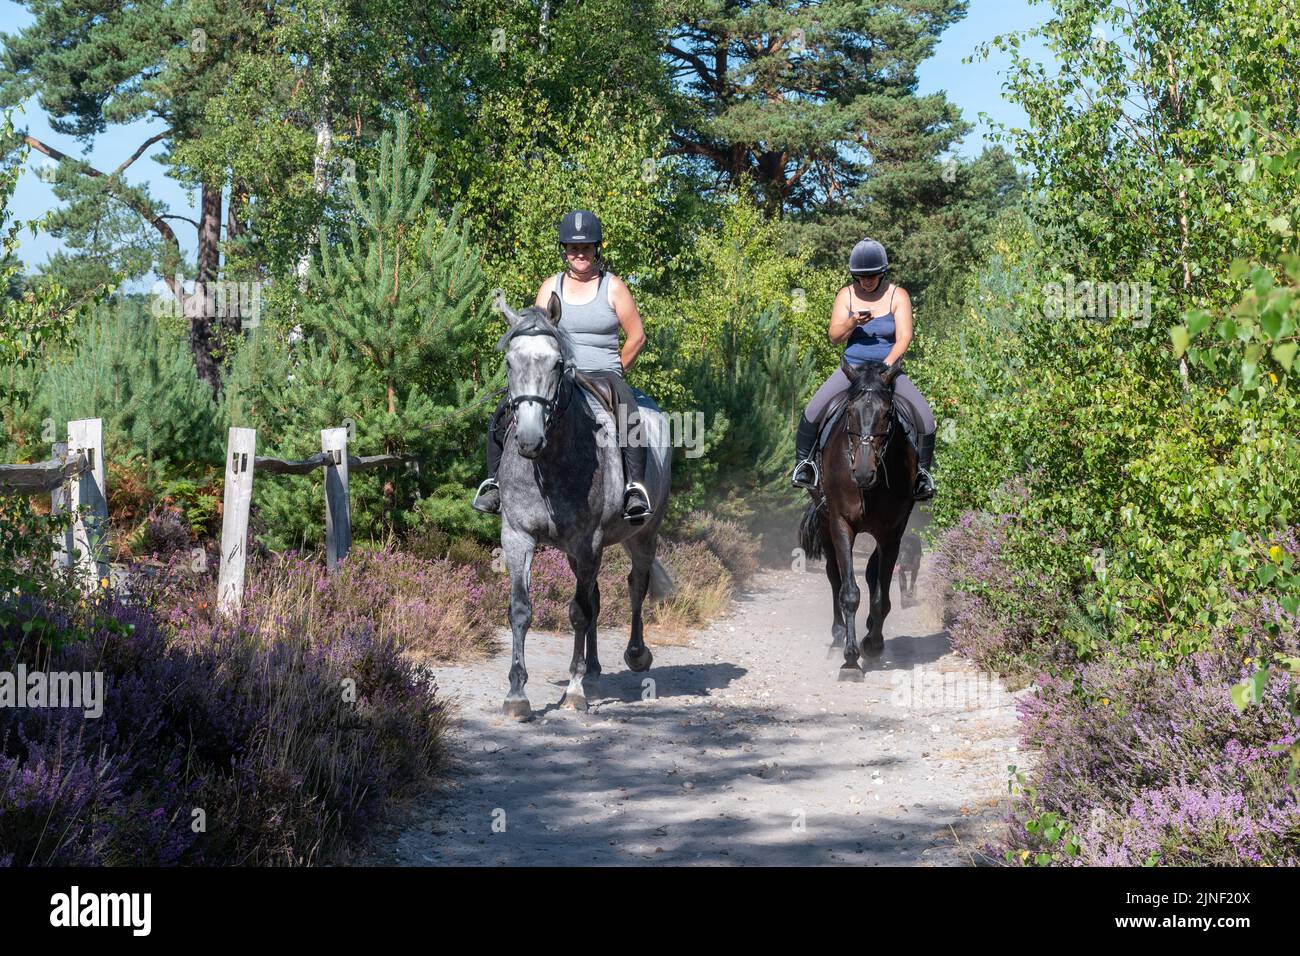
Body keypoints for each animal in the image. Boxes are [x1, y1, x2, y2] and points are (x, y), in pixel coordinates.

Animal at [488, 287, 670, 723]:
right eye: (509, 362)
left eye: (557, 364)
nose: (529, 440)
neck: (550, 463)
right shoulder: (517, 536)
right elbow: (521, 610)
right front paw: (517, 695)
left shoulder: (588, 542)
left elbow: (578, 612)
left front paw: (573, 691)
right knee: (598, 597)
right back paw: (595, 672)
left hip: (642, 535)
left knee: (635, 586)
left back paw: (635, 655)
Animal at [795, 361, 920, 681]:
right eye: (850, 411)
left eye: (887, 413)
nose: (863, 472)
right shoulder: (841, 523)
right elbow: (849, 592)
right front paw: (850, 659)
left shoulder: (892, 531)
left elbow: (880, 595)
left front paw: (872, 645)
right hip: (825, 520)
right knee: (834, 575)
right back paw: (839, 633)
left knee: (873, 573)